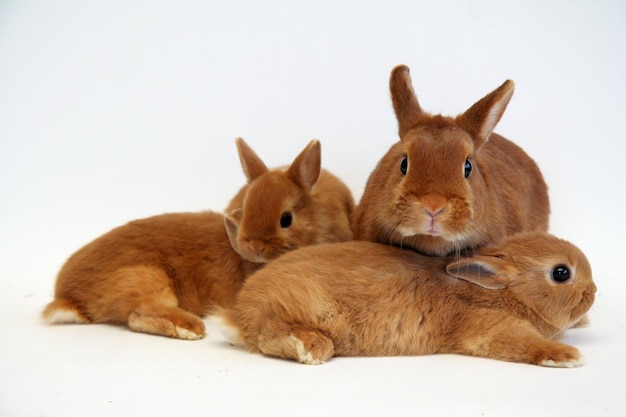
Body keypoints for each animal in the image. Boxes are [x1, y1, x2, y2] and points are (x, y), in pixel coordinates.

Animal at [218, 232, 596, 366]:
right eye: (561, 273)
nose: (593, 292)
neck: (501, 292)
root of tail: (237, 315)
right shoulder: (486, 326)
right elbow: (525, 342)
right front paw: (566, 356)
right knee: (270, 336)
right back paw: (310, 348)